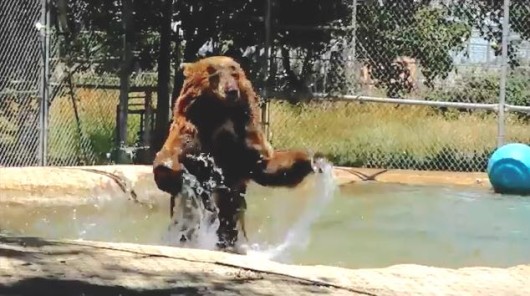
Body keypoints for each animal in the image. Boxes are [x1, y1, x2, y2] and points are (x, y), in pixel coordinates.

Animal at [152, 56, 326, 254]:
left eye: (234, 72)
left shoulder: (243, 140)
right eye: (213, 73)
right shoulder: (191, 131)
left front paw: (313, 159)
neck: (219, 116)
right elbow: (171, 156)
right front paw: (172, 171)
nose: (231, 91)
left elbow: (265, 165)